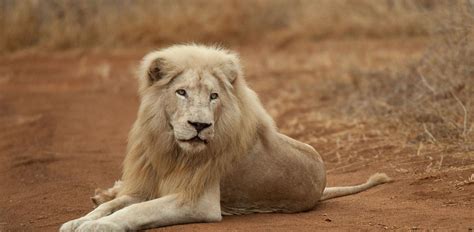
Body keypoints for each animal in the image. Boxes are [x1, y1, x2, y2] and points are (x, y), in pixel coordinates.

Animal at [61, 44, 390, 231]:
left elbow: (138, 210)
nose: (199, 125)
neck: (171, 148)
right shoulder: (146, 184)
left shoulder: (198, 201)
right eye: (181, 92)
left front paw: (97, 226)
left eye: (214, 96)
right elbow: (115, 205)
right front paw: (81, 219)